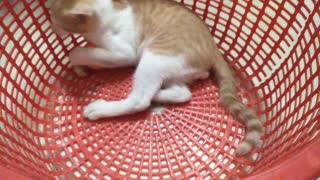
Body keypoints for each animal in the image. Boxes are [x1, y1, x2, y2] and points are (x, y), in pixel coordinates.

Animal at [50, 0, 264, 155]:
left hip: (155, 56)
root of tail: (213, 47)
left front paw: (76, 58)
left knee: (140, 100)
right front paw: (81, 68)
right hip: (175, 70)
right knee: (183, 93)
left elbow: (79, 51)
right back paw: (160, 94)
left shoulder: (124, 52)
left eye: (55, 19)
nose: (53, 28)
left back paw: (102, 108)